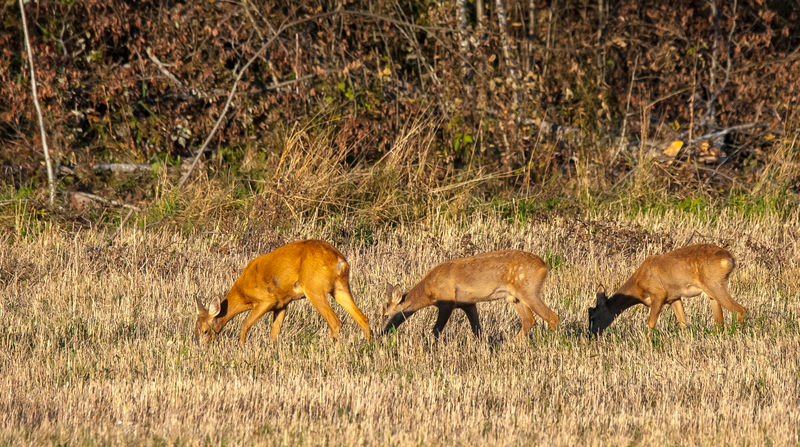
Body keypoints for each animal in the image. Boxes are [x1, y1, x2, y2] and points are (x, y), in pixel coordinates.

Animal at [194, 240, 372, 348]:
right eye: (195, 330)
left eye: (205, 331)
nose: (201, 348)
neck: (243, 294)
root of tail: (340, 260)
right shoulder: (282, 304)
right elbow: (274, 332)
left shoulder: (266, 300)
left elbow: (245, 325)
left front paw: (242, 347)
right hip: (341, 287)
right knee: (363, 318)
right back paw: (368, 346)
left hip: (315, 289)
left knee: (335, 321)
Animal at [382, 250, 560, 342]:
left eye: (385, 315)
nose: (383, 333)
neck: (428, 291)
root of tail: (544, 266)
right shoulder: (468, 303)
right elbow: (477, 329)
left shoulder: (447, 302)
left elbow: (436, 330)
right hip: (515, 297)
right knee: (529, 320)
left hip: (529, 290)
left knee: (552, 317)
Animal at [584, 243, 748, 334]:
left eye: (593, 317)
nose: (591, 335)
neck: (638, 284)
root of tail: (729, 258)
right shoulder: (673, 297)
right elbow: (682, 322)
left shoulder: (659, 294)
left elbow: (650, 324)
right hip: (711, 292)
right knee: (719, 321)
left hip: (715, 285)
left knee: (740, 309)